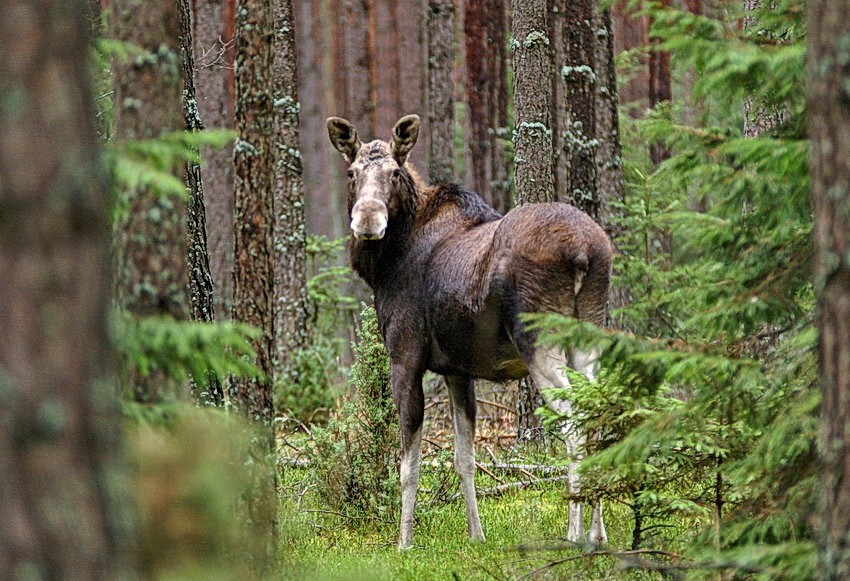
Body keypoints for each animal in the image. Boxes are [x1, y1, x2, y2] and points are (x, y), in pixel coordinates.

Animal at [324, 113, 608, 548]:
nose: (367, 220)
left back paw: (574, 534)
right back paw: (599, 534)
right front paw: (477, 536)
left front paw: (404, 542)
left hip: (540, 339)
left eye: (394, 172)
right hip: (590, 332)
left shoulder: (404, 356)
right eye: (352, 172)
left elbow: (409, 466)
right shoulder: (458, 370)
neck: (384, 266)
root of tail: (585, 252)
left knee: (574, 417)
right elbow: (464, 458)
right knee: (597, 411)